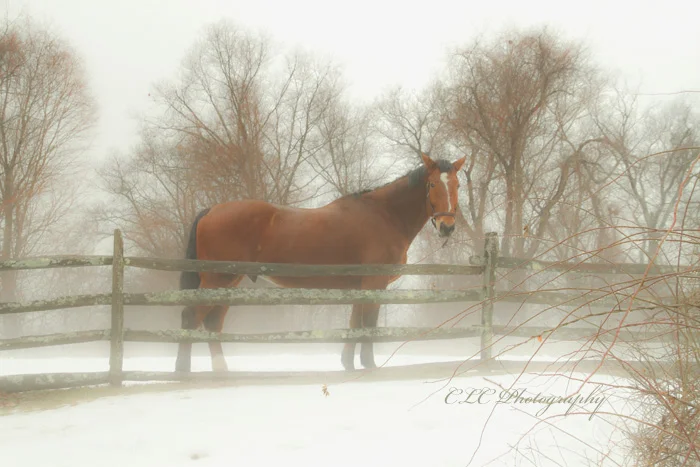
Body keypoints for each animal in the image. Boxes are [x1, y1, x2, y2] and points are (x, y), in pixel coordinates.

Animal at [175, 153, 466, 373]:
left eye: (457, 185)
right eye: (432, 184)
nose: (447, 226)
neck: (384, 215)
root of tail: (211, 210)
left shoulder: (359, 286)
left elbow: (354, 323)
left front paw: (348, 363)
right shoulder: (374, 283)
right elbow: (368, 323)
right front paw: (369, 364)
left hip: (229, 282)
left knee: (212, 322)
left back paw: (220, 369)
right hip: (217, 280)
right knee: (191, 317)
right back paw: (183, 369)